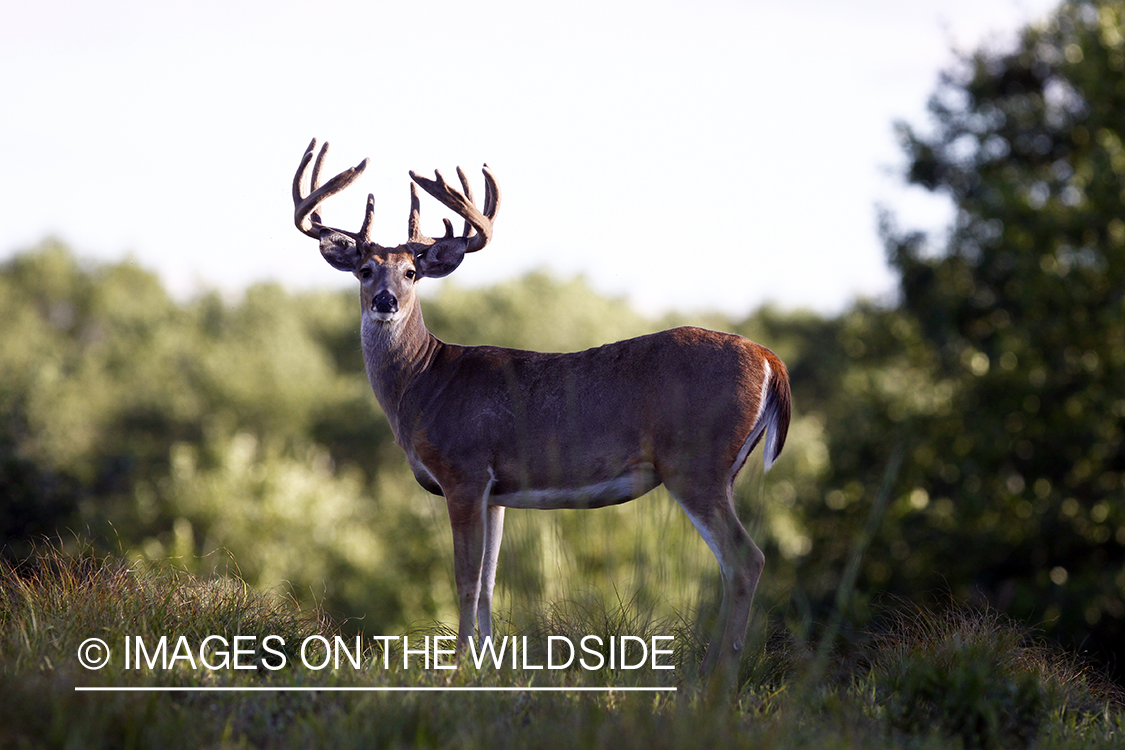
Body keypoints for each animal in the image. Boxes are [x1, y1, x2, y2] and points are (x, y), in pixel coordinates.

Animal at [294, 139, 796, 679]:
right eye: (365, 270)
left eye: (411, 272)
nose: (385, 300)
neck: (425, 383)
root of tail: (770, 360)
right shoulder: (494, 492)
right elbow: (490, 582)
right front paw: (487, 666)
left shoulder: (463, 471)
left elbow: (466, 579)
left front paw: (455, 668)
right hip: (720, 469)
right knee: (735, 564)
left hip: (695, 461)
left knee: (745, 560)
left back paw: (712, 679)